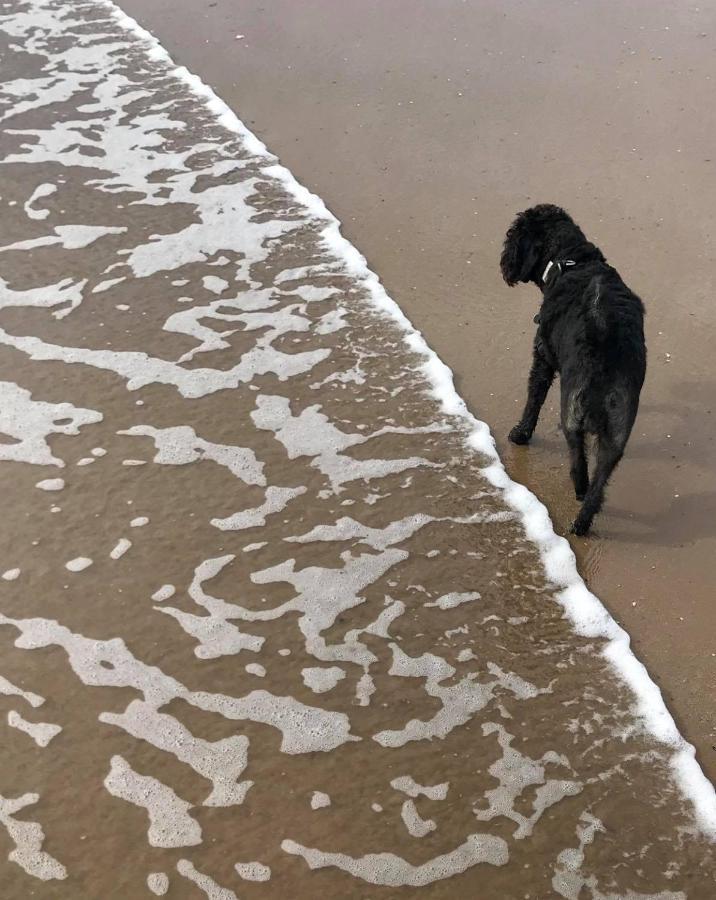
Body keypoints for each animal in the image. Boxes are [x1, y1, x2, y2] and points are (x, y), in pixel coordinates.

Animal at [500, 206, 648, 536]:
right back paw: (582, 520)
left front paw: (520, 433)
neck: (572, 262)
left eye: (513, 235)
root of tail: (602, 368)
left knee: (578, 461)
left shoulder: (542, 357)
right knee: (600, 479)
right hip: (617, 430)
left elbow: (534, 397)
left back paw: (578, 493)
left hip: (571, 412)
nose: (504, 263)